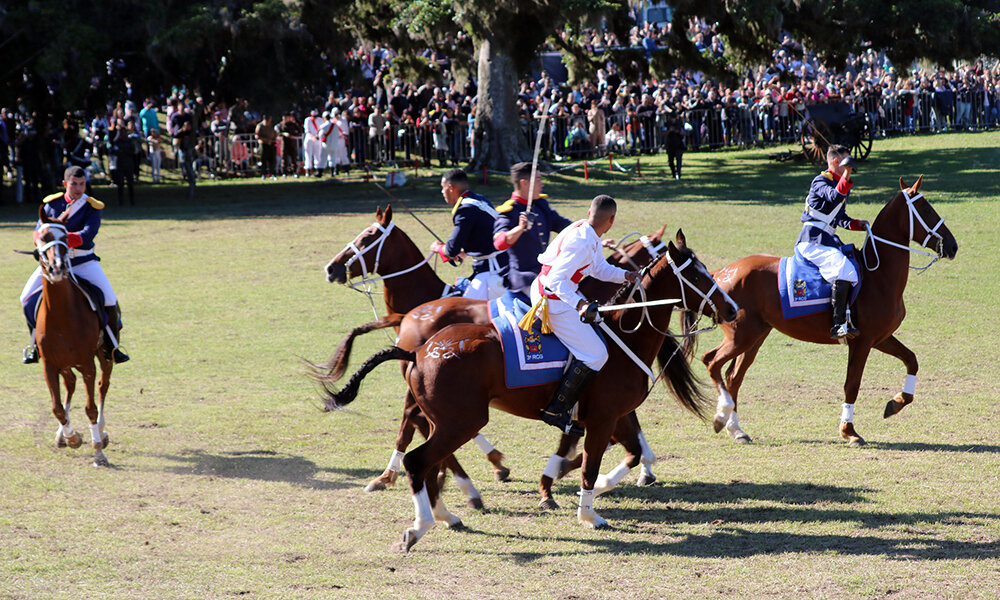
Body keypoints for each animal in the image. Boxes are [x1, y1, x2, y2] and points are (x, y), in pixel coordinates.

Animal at [29, 209, 112, 466]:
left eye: (65, 238)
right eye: (42, 237)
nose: (57, 269)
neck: (61, 315)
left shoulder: (87, 363)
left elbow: (91, 407)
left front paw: (98, 450)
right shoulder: (49, 364)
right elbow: (56, 406)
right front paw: (71, 436)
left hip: (104, 356)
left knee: (103, 386)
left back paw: (102, 432)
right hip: (64, 364)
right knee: (70, 385)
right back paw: (62, 435)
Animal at [324, 232, 740, 552]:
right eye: (698, 275)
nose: (733, 309)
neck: (623, 337)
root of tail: (419, 348)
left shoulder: (612, 416)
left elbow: (631, 454)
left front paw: (593, 487)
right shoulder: (603, 417)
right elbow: (591, 464)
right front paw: (587, 512)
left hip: (445, 420)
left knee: (427, 458)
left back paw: (446, 511)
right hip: (462, 421)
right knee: (418, 460)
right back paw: (421, 523)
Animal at [700, 176, 956, 442]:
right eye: (926, 209)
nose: (953, 246)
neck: (879, 275)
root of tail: (721, 273)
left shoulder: (881, 338)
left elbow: (911, 360)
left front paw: (896, 403)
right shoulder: (863, 342)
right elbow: (852, 385)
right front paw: (849, 431)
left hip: (754, 337)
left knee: (733, 376)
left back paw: (736, 429)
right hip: (741, 337)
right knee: (712, 362)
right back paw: (721, 419)